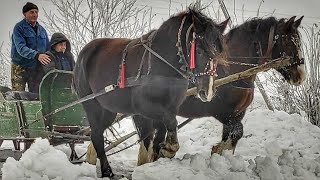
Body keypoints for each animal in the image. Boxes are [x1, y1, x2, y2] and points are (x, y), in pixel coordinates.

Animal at [73, 6, 228, 178]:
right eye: (199, 51)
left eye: (219, 52)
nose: (208, 91)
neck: (162, 64)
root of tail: (84, 52)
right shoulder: (144, 108)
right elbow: (168, 125)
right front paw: (169, 148)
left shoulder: (168, 108)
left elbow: (160, 134)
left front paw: (156, 159)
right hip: (92, 105)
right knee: (96, 135)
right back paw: (107, 171)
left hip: (108, 110)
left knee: (98, 133)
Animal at [134, 15, 306, 166]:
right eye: (289, 42)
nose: (301, 76)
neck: (232, 69)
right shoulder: (223, 113)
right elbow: (238, 132)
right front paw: (217, 150)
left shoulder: (238, 113)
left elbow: (232, 137)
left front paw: (221, 155)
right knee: (147, 139)